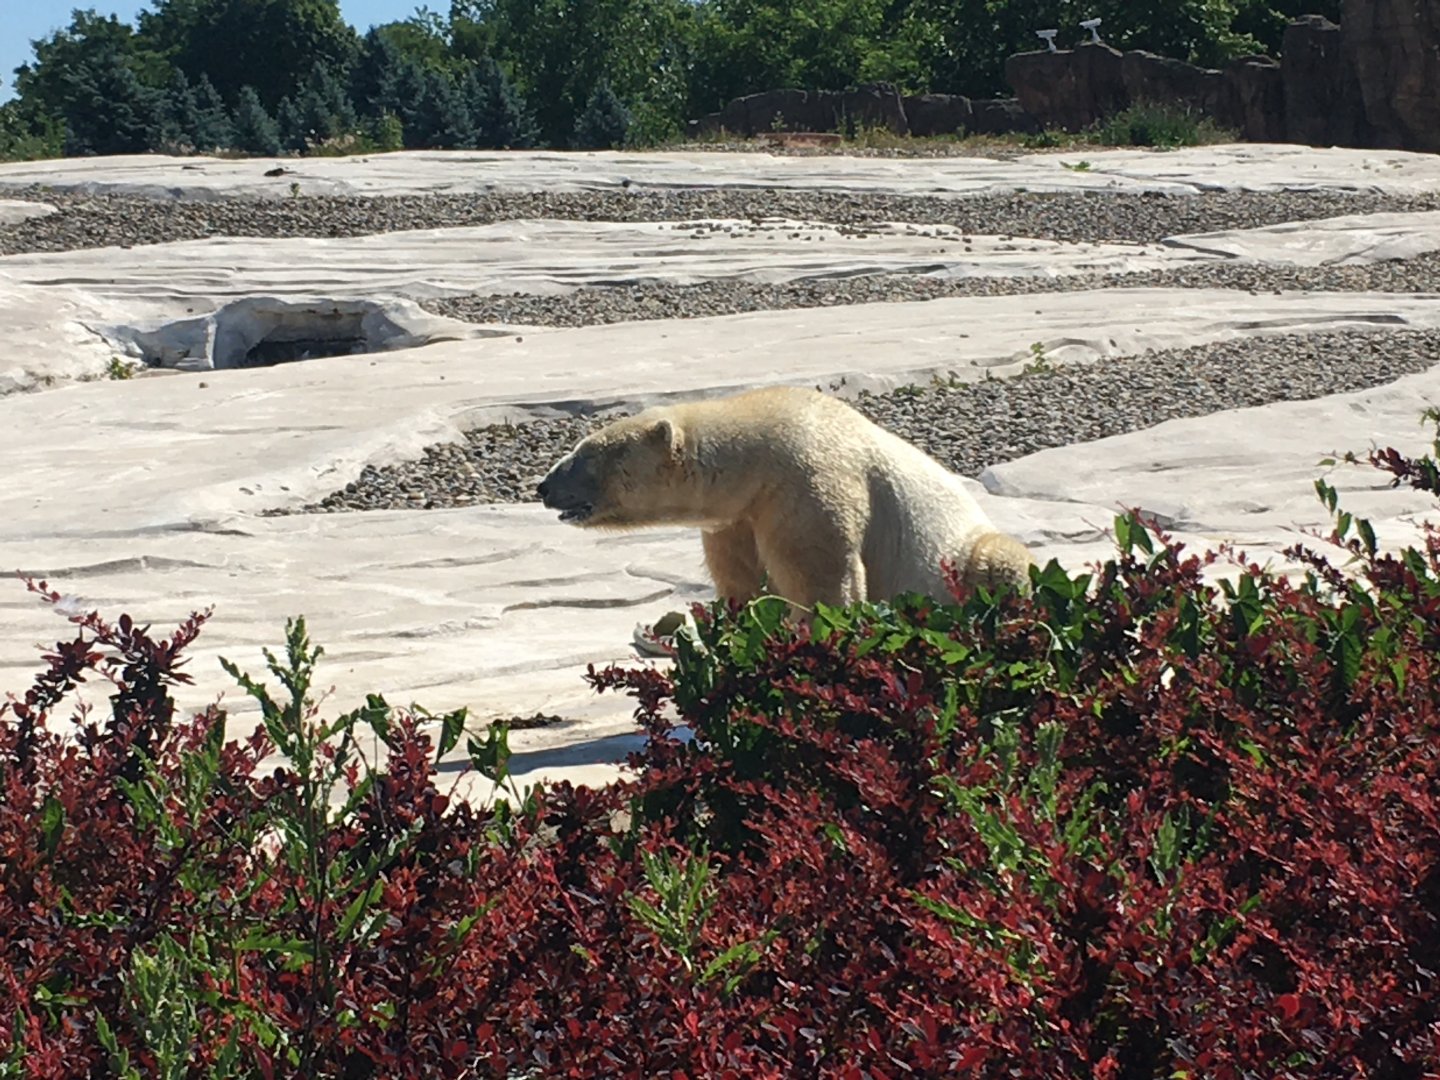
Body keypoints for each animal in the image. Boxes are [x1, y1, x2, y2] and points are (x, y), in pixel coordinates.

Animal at [536, 385, 1035, 617]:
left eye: (586, 455)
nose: (543, 488)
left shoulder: (808, 484)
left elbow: (823, 577)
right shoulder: (736, 518)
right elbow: (740, 579)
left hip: (964, 552)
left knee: (1002, 559)